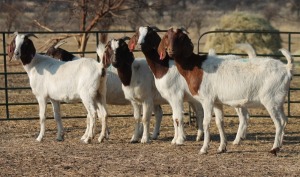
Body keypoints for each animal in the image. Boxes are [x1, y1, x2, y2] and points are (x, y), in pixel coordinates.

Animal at [159, 27, 292, 155]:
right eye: (166, 36)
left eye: (181, 37)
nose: (171, 50)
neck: (196, 66)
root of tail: (287, 68)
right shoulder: (217, 102)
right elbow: (219, 122)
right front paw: (222, 147)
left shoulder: (207, 100)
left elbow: (206, 122)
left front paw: (204, 149)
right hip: (279, 102)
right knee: (285, 120)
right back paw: (280, 145)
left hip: (270, 100)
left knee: (279, 122)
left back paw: (274, 148)